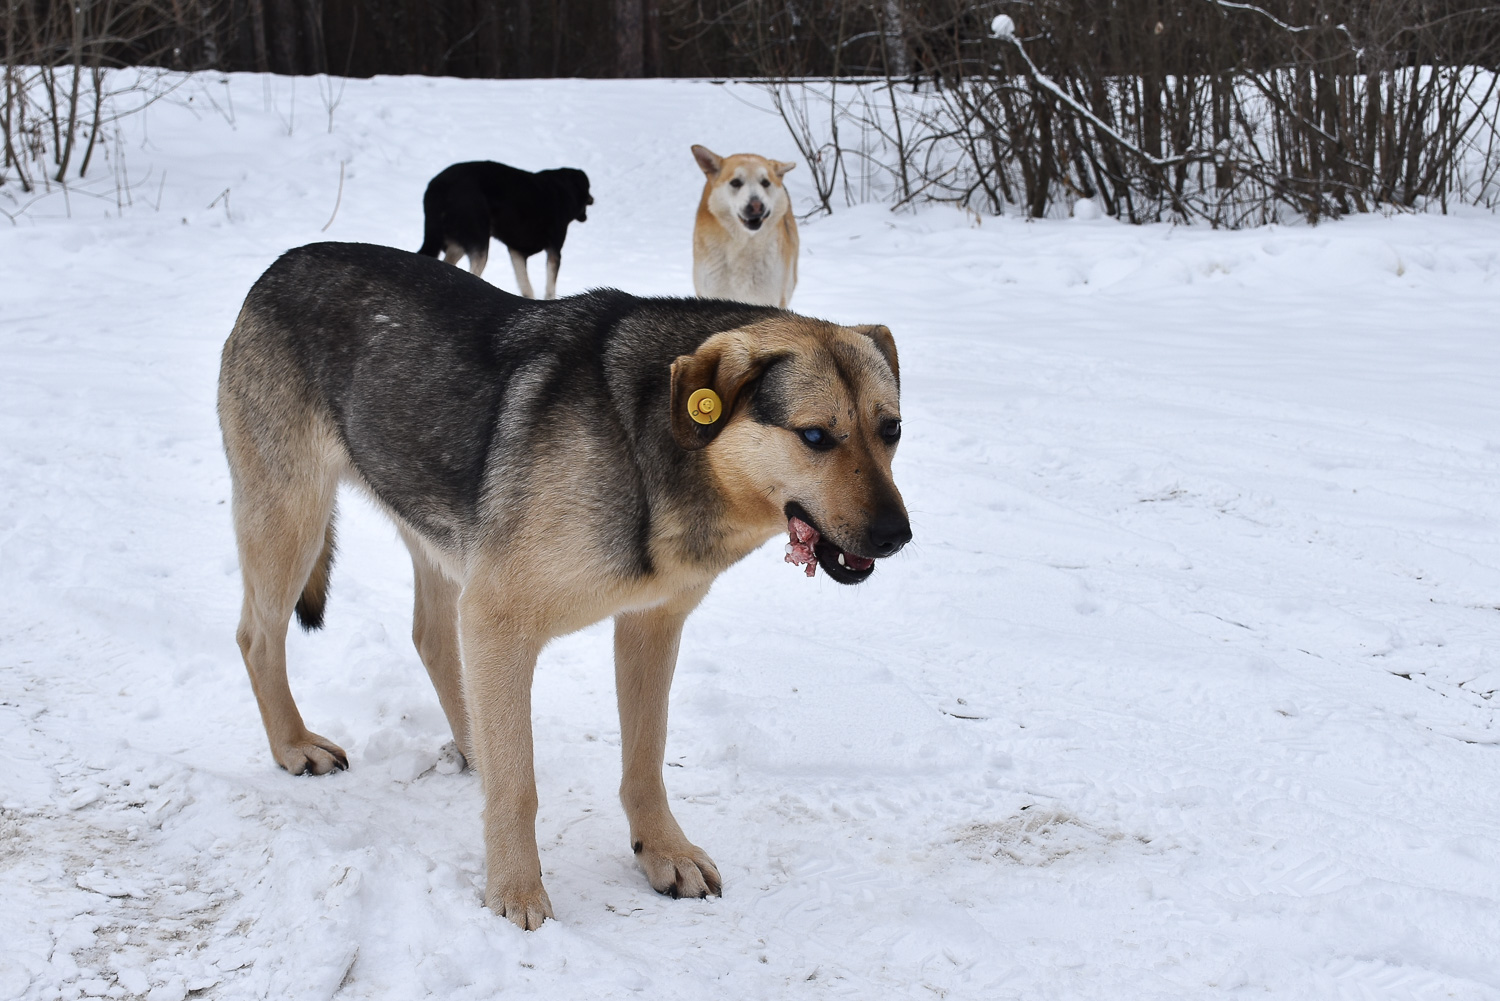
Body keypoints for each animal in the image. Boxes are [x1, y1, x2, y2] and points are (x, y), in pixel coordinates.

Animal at [217, 243, 906, 930]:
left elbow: (645, 760)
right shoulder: (498, 616)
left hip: (434, 529)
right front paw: (516, 892)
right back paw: (295, 746)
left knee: (433, 640)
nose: (898, 535)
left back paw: (473, 745)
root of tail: (283, 262)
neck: (652, 440)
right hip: (293, 518)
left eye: (891, 429)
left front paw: (664, 852)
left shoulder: (648, 627)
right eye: (815, 436)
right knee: (257, 637)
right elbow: (518, 786)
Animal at [420, 160, 594, 300]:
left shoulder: (516, 251)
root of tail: (437, 187)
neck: (565, 189)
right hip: (478, 242)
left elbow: (526, 286)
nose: (593, 199)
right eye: (589, 188)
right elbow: (550, 288)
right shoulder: (554, 251)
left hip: (455, 244)